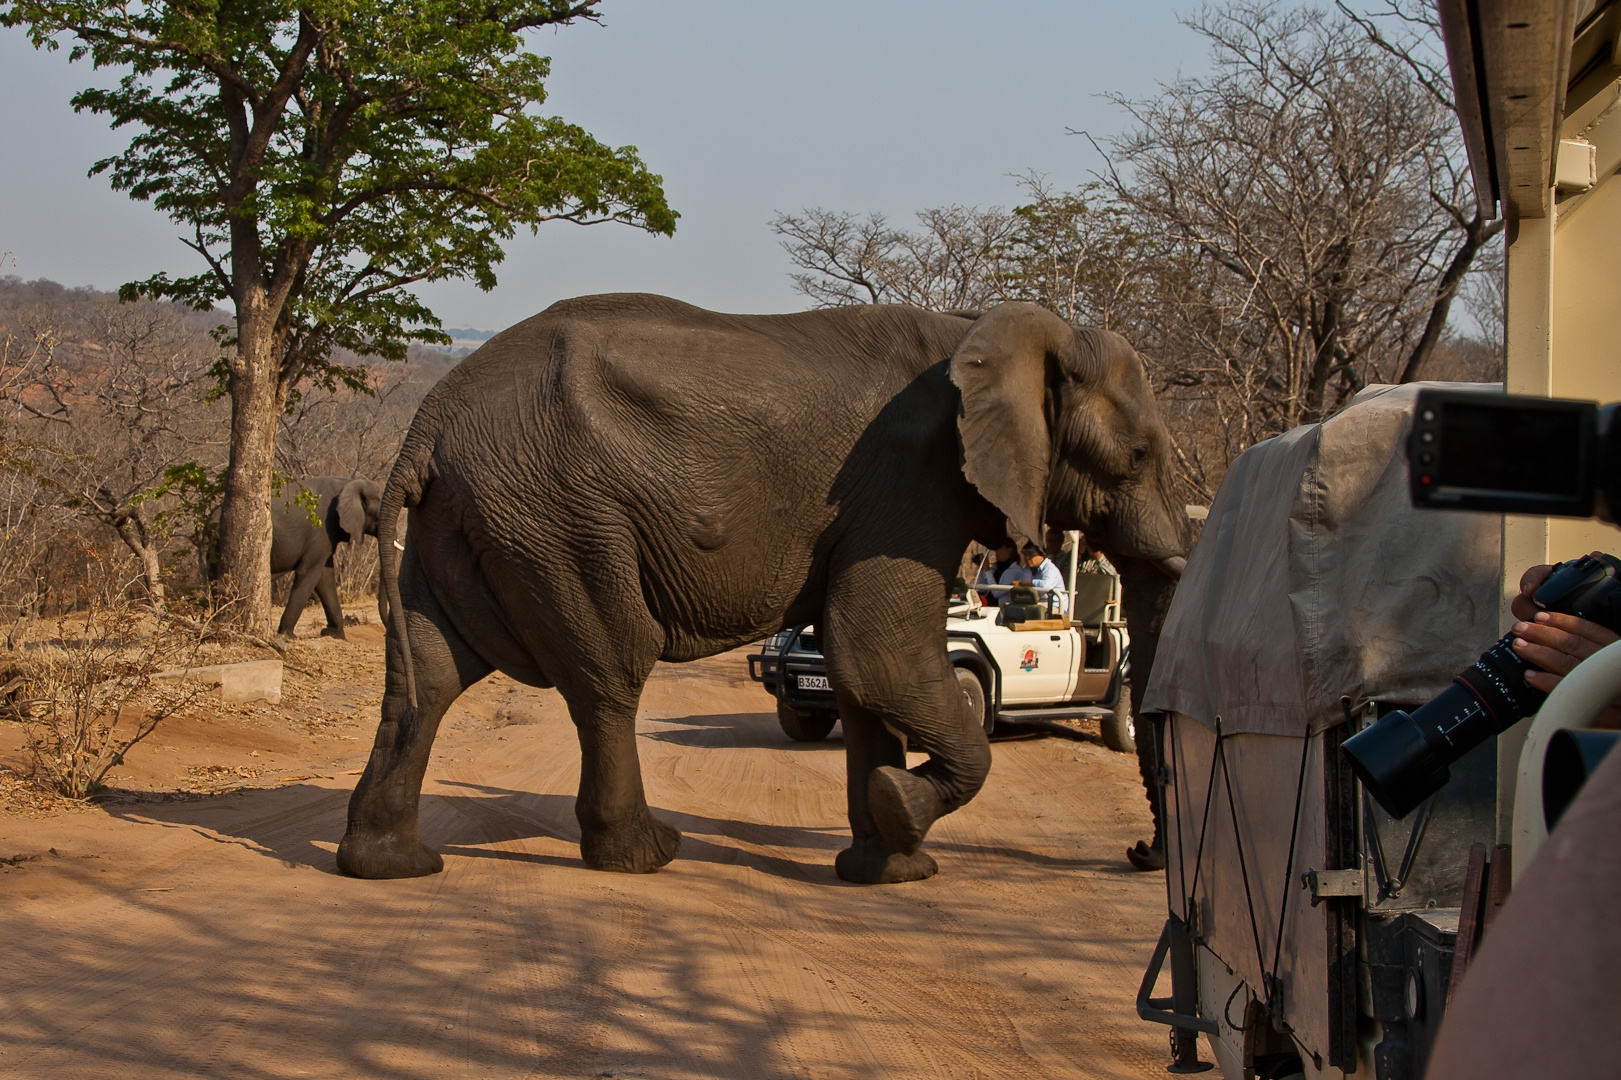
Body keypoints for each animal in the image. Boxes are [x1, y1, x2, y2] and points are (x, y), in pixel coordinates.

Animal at [275, 473, 385, 638]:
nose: (384, 634)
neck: (347, 483)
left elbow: (325, 577)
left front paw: (333, 634)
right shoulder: (321, 530)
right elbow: (309, 573)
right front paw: (288, 636)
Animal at [335, 295, 1186, 882]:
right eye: (1138, 456)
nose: (1139, 854)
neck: (994, 328)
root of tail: (428, 418)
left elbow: (855, 670)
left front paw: (889, 867)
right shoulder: (910, 488)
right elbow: (878, 652)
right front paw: (899, 809)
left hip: (473, 517)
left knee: (428, 675)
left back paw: (388, 866)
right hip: (557, 515)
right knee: (610, 672)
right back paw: (646, 855)